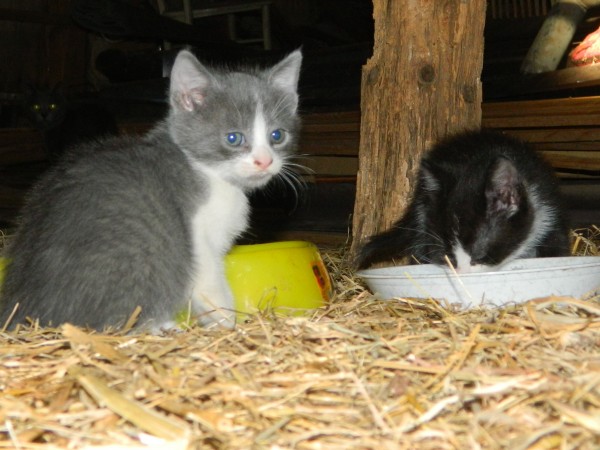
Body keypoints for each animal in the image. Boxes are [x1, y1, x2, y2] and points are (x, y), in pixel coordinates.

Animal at [1, 49, 303, 332]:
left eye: (277, 135)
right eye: (233, 138)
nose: (265, 161)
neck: (208, 172)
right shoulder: (199, 240)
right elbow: (210, 284)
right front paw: (228, 322)